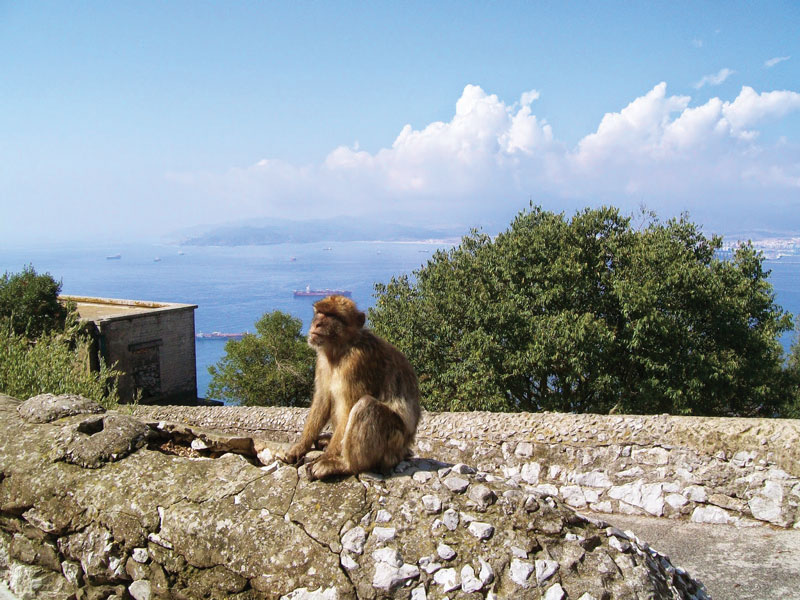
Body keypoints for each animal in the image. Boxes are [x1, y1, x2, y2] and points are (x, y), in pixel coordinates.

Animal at [282, 292, 422, 480]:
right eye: (320, 312)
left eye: (333, 316)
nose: (317, 323)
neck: (342, 349)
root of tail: (404, 448)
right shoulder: (322, 361)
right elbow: (323, 400)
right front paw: (301, 446)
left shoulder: (357, 363)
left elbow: (348, 408)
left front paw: (326, 459)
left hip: (393, 445)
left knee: (366, 406)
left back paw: (344, 465)